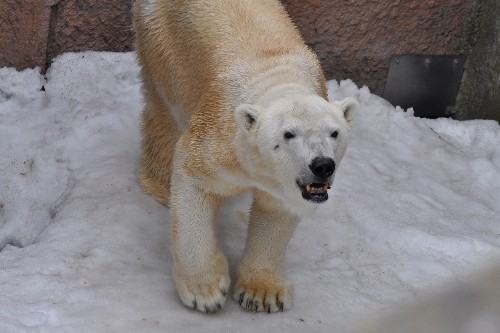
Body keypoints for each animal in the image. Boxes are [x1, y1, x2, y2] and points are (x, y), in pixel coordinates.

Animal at [134, 0, 360, 312]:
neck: (277, 78)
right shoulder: (218, 137)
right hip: (163, 45)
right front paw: (205, 291)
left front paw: (262, 294)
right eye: (288, 135)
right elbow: (193, 181)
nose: (322, 166)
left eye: (334, 133)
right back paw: (159, 183)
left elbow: (276, 209)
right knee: (165, 115)